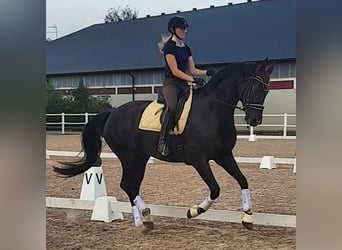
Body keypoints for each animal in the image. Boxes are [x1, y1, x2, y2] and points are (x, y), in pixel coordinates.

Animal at [54, 57, 276, 231]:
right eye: (257, 87)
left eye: (267, 90)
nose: (254, 120)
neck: (213, 111)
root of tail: (112, 113)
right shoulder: (199, 160)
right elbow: (215, 189)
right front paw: (194, 211)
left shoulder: (223, 155)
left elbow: (243, 180)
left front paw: (248, 217)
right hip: (129, 156)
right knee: (127, 184)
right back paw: (144, 217)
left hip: (140, 158)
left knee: (132, 185)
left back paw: (144, 220)